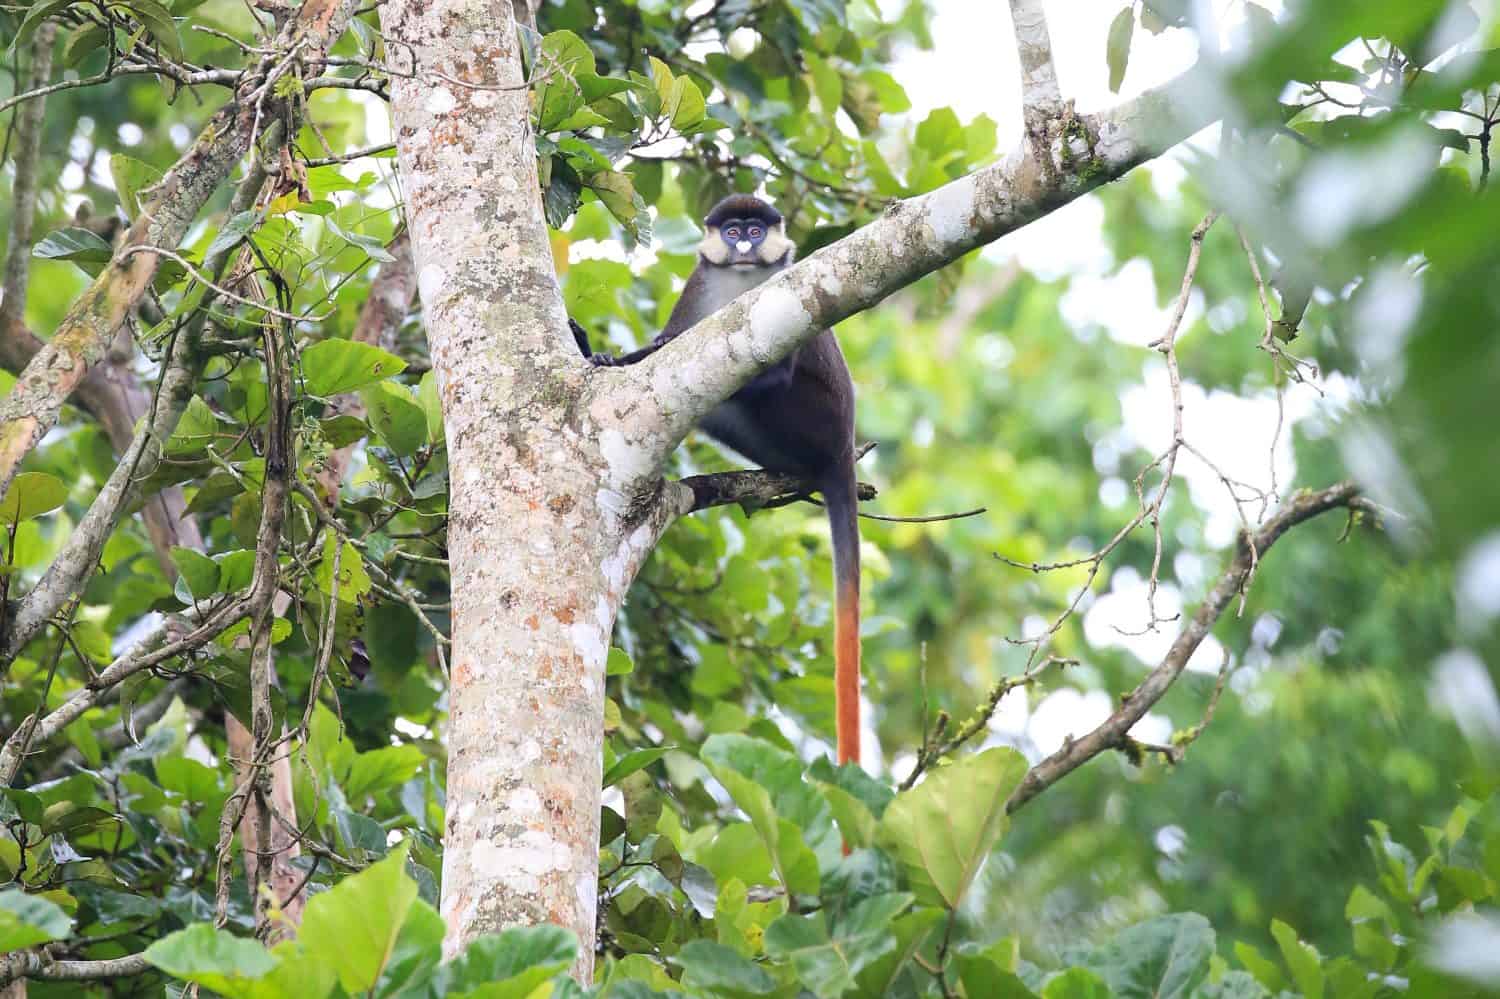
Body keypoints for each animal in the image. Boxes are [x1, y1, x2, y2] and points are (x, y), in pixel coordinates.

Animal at [582, 194, 863, 767]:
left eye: (756, 232)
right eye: (732, 231)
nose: (744, 248)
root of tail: (843, 448)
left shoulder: (785, 290)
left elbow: (774, 371)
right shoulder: (698, 288)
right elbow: (668, 343)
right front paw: (607, 357)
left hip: (814, 418)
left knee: (764, 388)